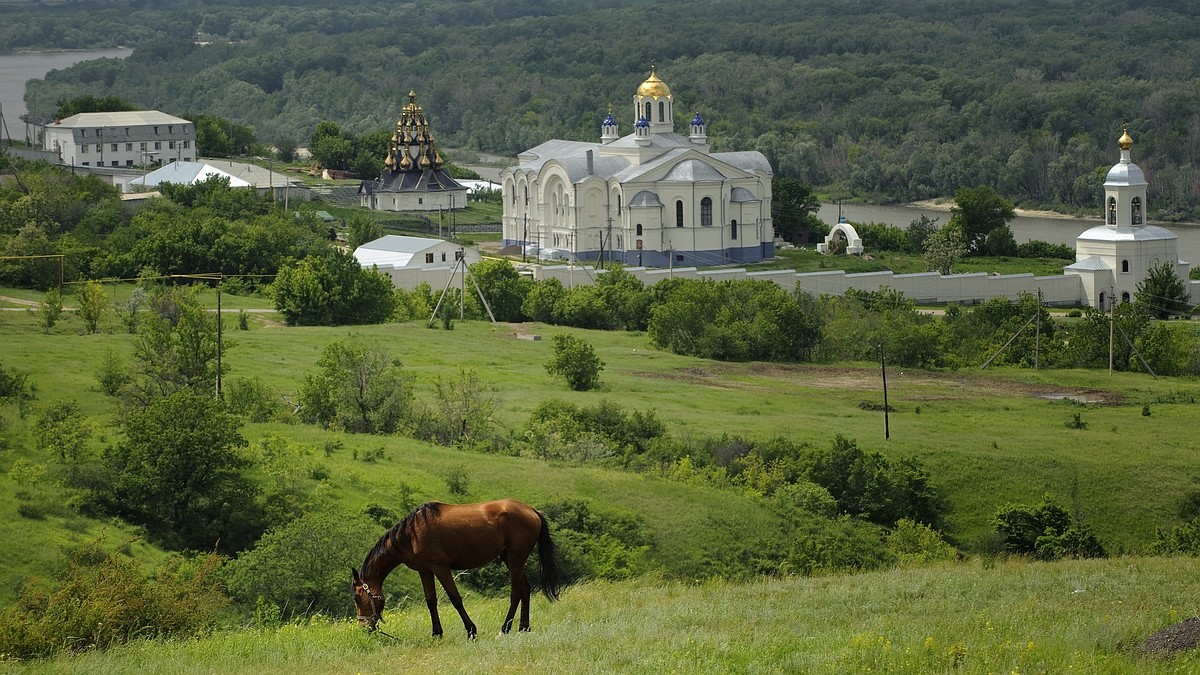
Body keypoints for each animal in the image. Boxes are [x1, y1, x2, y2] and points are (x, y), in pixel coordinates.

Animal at [350, 499, 561, 634]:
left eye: (357, 598)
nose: (365, 628)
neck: (410, 535)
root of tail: (532, 510)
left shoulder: (441, 568)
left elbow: (455, 599)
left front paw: (471, 630)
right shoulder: (425, 571)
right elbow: (431, 601)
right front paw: (436, 633)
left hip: (516, 559)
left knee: (516, 593)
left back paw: (505, 629)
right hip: (510, 559)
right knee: (525, 589)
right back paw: (524, 627)